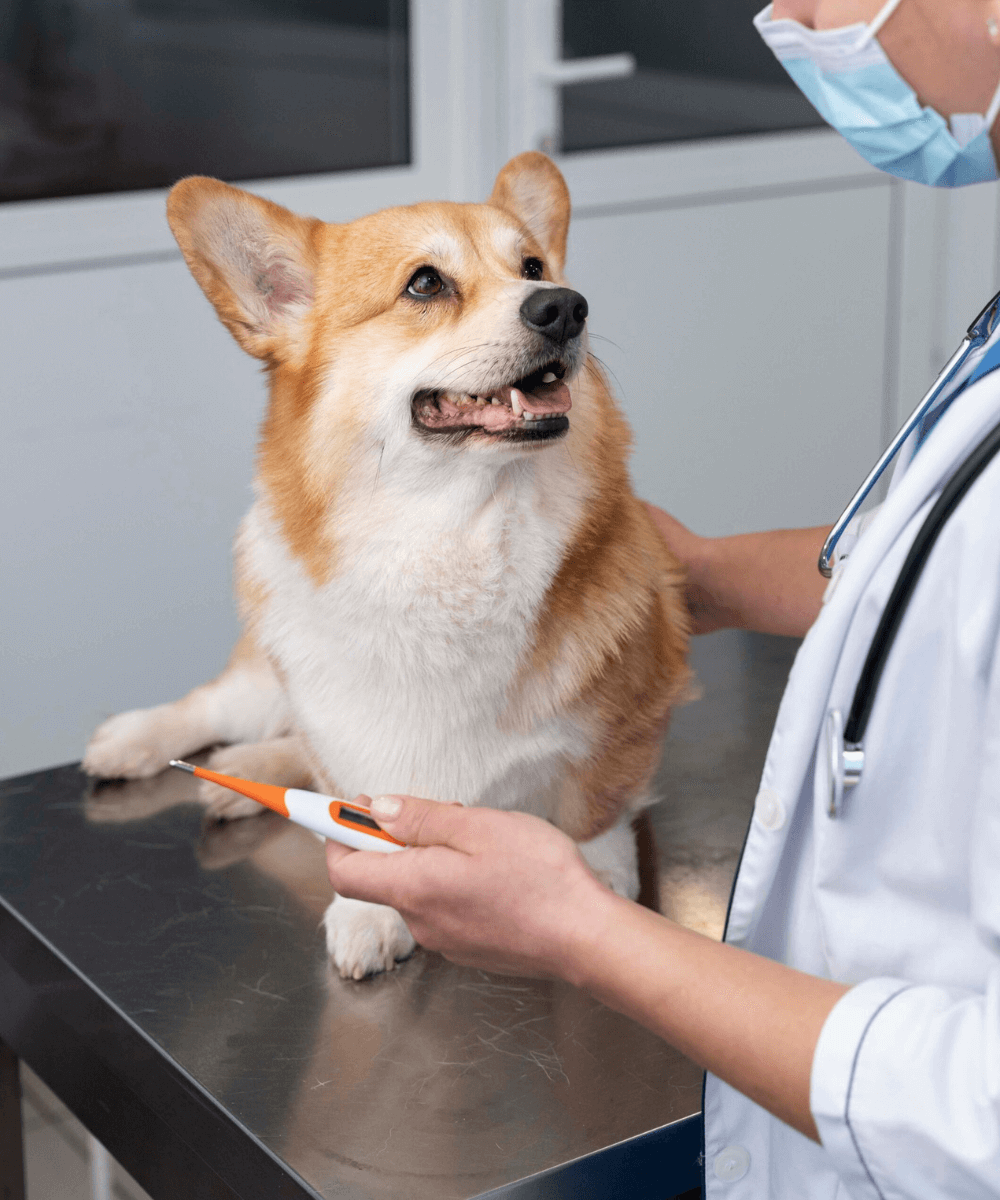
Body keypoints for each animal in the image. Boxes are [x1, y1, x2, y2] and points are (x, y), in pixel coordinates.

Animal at [84, 152, 686, 974]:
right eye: (425, 284)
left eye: (533, 266)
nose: (565, 306)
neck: (454, 532)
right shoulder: (344, 729)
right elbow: (354, 799)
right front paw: (371, 908)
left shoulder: (628, 717)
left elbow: (594, 804)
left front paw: (597, 874)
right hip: (267, 678)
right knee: (217, 706)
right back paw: (136, 742)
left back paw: (240, 777)